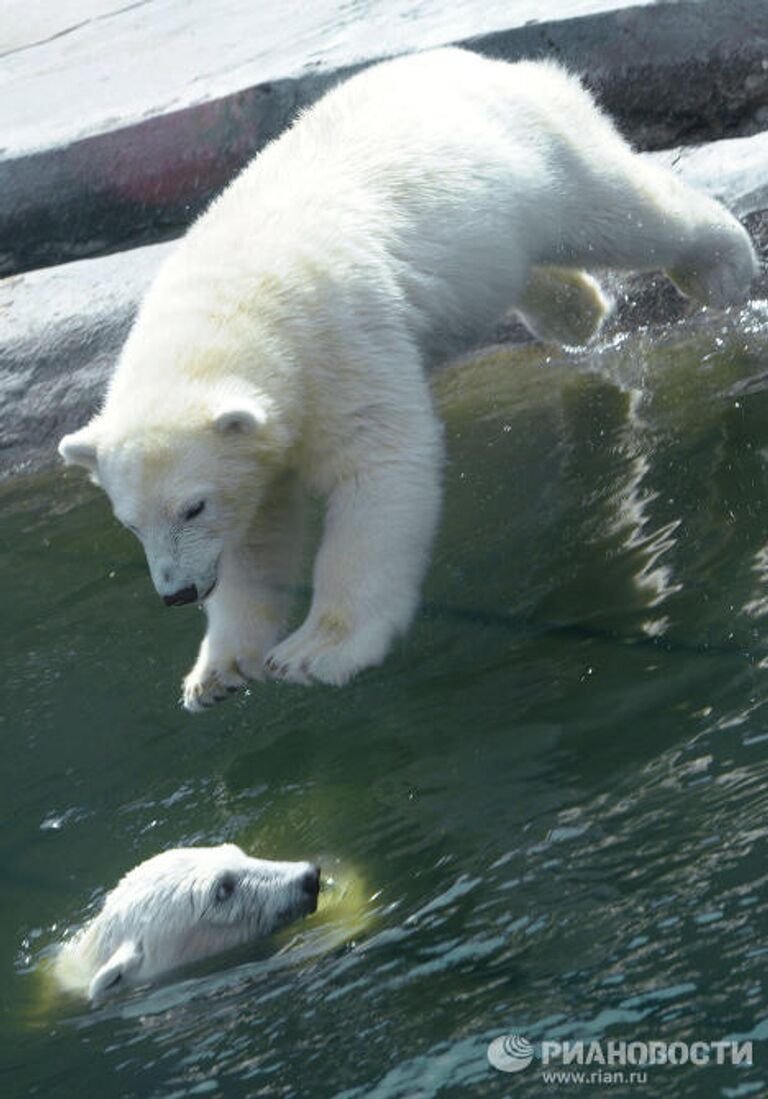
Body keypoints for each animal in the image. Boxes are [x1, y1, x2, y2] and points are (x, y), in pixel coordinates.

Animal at [60, 47, 755, 707]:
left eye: (191, 505)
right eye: (129, 523)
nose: (177, 593)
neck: (233, 298)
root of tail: (494, 64)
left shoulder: (336, 343)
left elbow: (377, 471)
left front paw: (316, 654)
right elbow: (257, 534)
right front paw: (218, 674)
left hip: (536, 159)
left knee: (617, 212)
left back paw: (725, 270)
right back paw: (578, 313)